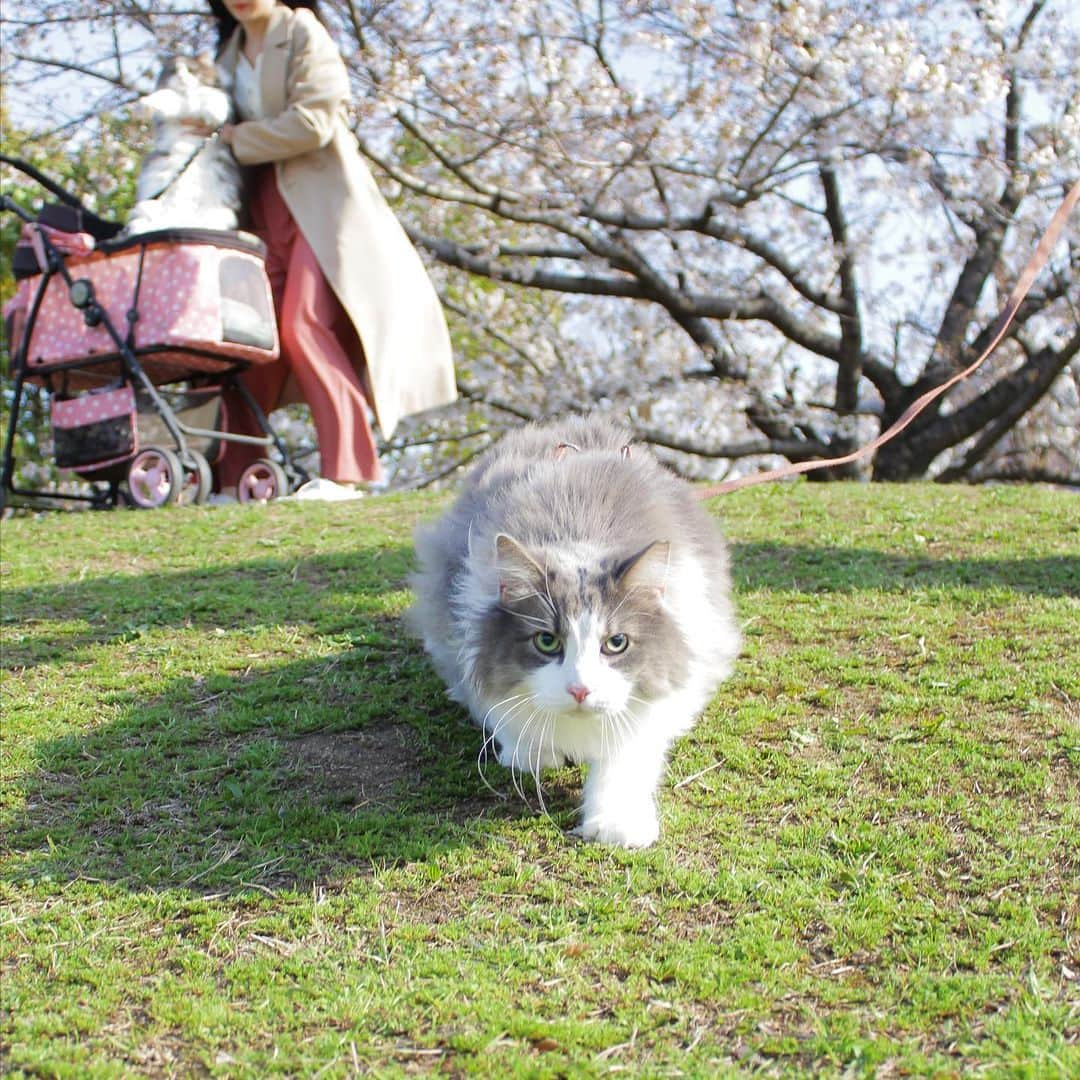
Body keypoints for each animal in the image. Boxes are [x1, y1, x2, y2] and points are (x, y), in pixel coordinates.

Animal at [124, 54, 243, 236]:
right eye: (174, 71)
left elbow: (211, 95)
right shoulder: (173, 104)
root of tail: (181, 220)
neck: (187, 97)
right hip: (151, 201)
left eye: (191, 70)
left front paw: (213, 111)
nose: (181, 76)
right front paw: (143, 106)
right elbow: (167, 96)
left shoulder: (223, 101)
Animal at [406, 416, 743, 846]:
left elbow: (624, 761)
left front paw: (617, 825)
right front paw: (530, 753)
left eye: (616, 643)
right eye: (547, 641)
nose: (580, 690)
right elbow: (504, 712)